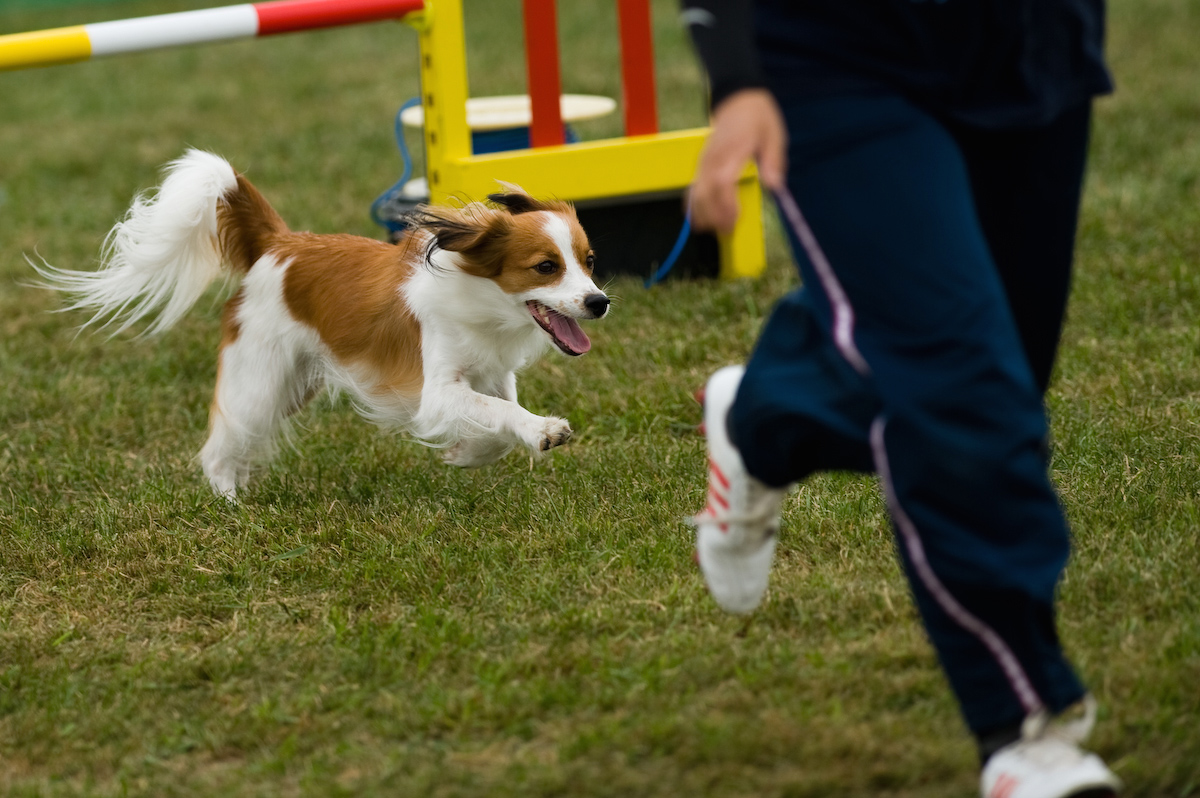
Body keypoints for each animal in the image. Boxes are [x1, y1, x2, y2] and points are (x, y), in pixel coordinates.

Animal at [36, 147, 609, 499]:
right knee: (220, 445)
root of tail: (280, 243)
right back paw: (229, 505)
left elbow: (497, 421)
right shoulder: (438, 388)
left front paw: (465, 453)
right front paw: (542, 430)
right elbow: (496, 412)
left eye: (589, 261)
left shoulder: (492, 376)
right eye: (546, 267)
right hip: (259, 381)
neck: (483, 303)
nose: (599, 301)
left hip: (293, 386)